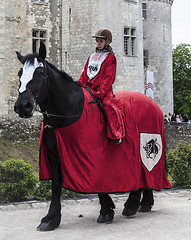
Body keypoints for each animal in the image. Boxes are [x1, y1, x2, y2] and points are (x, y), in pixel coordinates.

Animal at [14, 42, 166, 231]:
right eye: (20, 73)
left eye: (40, 73)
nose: (23, 106)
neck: (71, 110)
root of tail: (153, 103)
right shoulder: (54, 157)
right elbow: (56, 185)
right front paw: (51, 219)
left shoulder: (92, 157)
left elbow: (97, 182)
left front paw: (106, 211)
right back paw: (133, 205)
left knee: (149, 173)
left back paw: (143, 203)